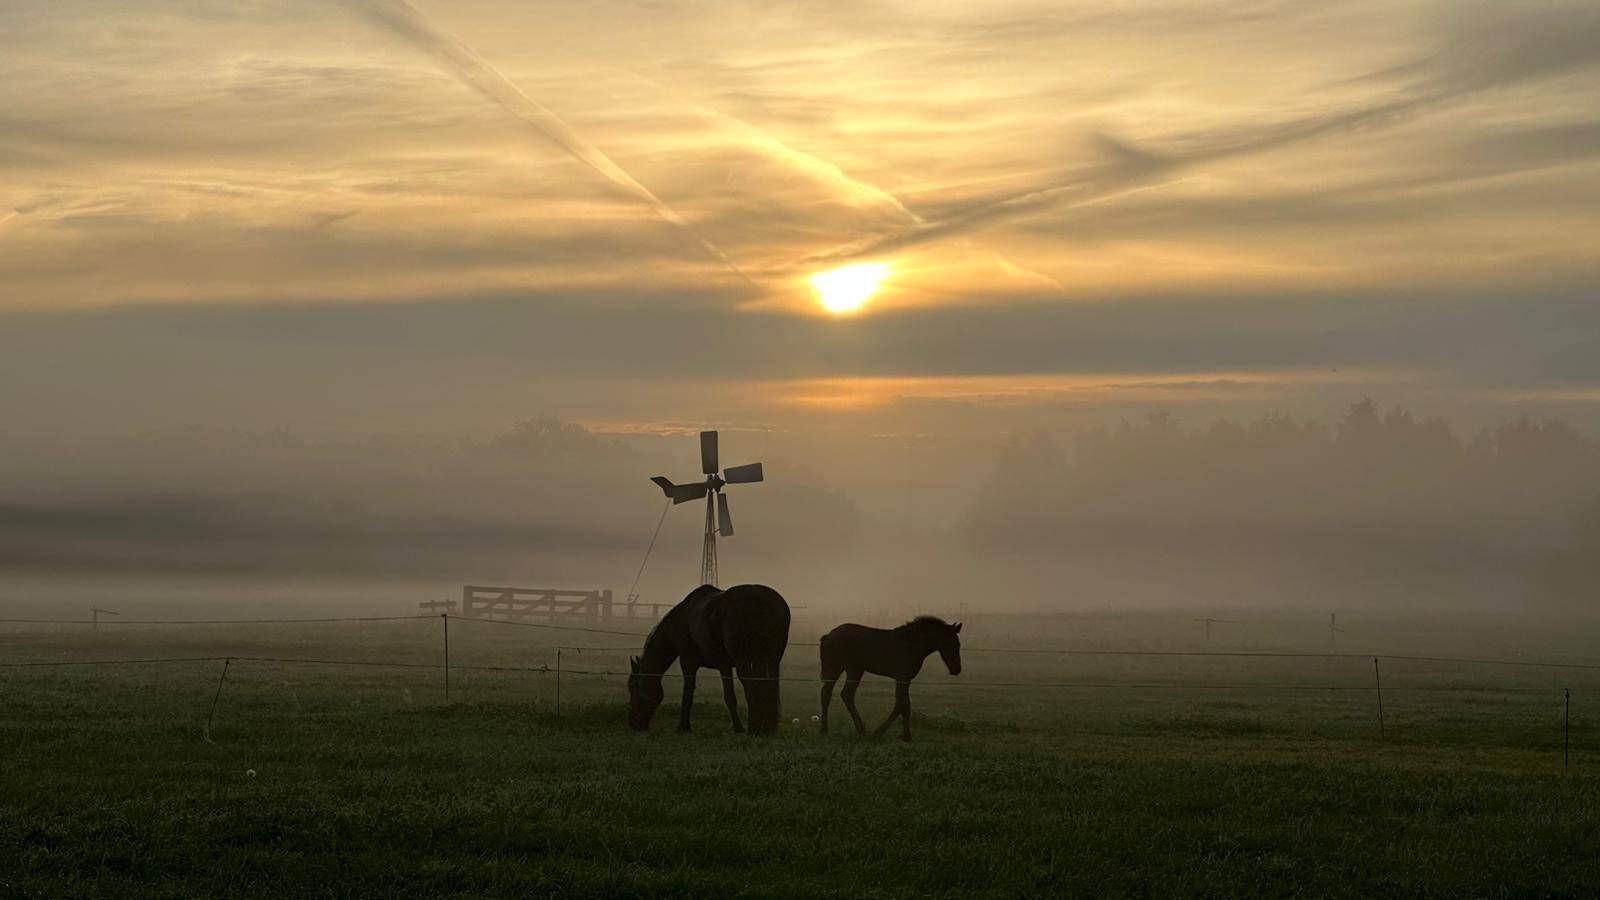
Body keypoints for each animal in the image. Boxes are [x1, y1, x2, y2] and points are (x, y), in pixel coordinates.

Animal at [630, 582, 793, 736]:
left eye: (634, 689)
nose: (634, 724)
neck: (682, 619)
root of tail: (759, 599)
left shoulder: (690, 662)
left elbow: (691, 694)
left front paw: (684, 726)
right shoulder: (725, 665)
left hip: (744, 661)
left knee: (751, 686)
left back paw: (753, 729)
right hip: (769, 659)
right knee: (767, 687)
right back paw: (767, 730)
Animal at [819, 611, 953, 739]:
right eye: (950, 643)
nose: (955, 669)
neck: (910, 643)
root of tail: (828, 635)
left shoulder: (905, 679)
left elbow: (903, 704)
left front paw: (904, 735)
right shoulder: (903, 678)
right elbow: (902, 704)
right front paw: (891, 733)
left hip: (851, 670)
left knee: (838, 693)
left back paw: (838, 730)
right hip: (842, 669)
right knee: (835, 693)